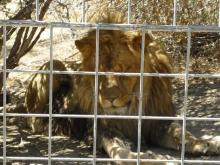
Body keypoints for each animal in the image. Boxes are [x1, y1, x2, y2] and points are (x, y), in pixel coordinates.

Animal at [24, 12, 220, 164]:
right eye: (98, 72)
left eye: (124, 70)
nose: (109, 99)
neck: (131, 111)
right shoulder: (101, 131)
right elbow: (119, 151)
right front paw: (149, 159)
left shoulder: (158, 122)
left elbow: (181, 132)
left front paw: (206, 144)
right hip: (54, 64)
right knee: (33, 119)